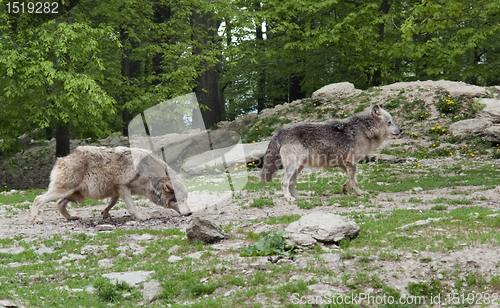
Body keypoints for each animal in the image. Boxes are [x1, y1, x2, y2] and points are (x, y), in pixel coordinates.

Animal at [30, 146, 191, 223]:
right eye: (179, 200)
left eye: (186, 199)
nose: (190, 213)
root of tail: (62, 158)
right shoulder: (123, 187)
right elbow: (132, 207)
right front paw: (141, 217)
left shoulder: (117, 190)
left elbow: (111, 203)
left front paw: (105, 214)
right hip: (63, 191)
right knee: (38, 199)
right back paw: (36, 219)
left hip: (71, 194)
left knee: (59, 204)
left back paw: (70, 218)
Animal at [262, 104, 402, 201]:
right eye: (389, 122)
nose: (400, 130)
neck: (364, 130)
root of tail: (279, 132)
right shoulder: (350, 162)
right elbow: (354, 180)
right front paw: (359, 193)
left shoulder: (345, 163)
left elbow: (350, 179)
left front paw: (346, 190)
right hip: (293, 166)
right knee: (284, 182)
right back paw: (288, 198)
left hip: (299, 167)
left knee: (291, 184)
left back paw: (300, 199)